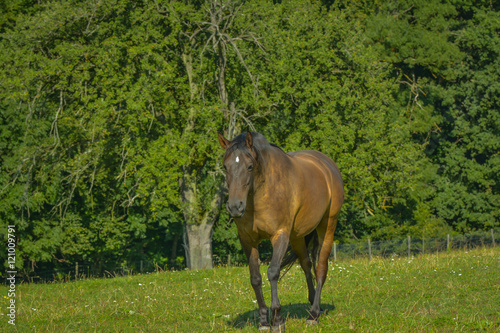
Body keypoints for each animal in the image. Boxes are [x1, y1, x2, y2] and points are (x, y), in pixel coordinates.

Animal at [219, 132, 344, 330]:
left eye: (250, 166)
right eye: (225, 166)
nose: (234, 207)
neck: (262, 192)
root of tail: (328, 166)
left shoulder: (280, 236)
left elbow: (273, 272)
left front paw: (277, 318)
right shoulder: (247, 240)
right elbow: (255, 277)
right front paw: (264, 320)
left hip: (327, 227)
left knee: (321, 268)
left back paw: (314, 314)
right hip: (297, 237)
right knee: (307, 265)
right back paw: (311, 302)